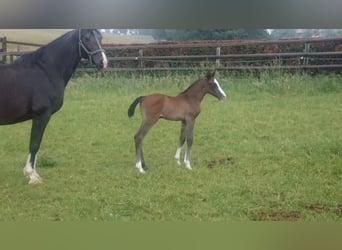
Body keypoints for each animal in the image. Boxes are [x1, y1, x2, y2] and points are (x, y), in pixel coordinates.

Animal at [0, 29, 108, 184]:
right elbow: (34, 144)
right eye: (86, 38)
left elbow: (36, 144)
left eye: (100, 38)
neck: (45, 71)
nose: (103, 62)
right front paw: (32, 175)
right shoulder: (41, 116)